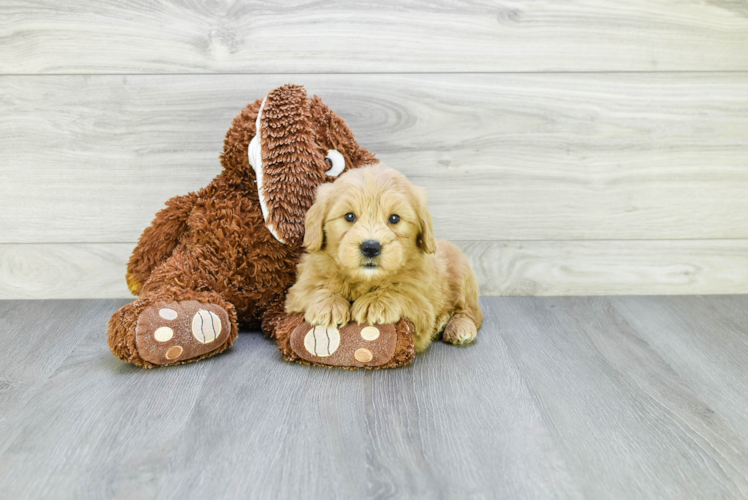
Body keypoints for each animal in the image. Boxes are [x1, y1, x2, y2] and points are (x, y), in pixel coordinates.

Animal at [284, 164, 482, 352]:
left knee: (471, 312)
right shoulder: (297, 292)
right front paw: (329, 304)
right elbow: (313, 289)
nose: (371, 247)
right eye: (349, 216)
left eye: (394, 218)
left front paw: (375, 302)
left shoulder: (421, 307)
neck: (365, 280)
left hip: (463, 277)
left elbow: (402, 293)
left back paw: (458, 327)